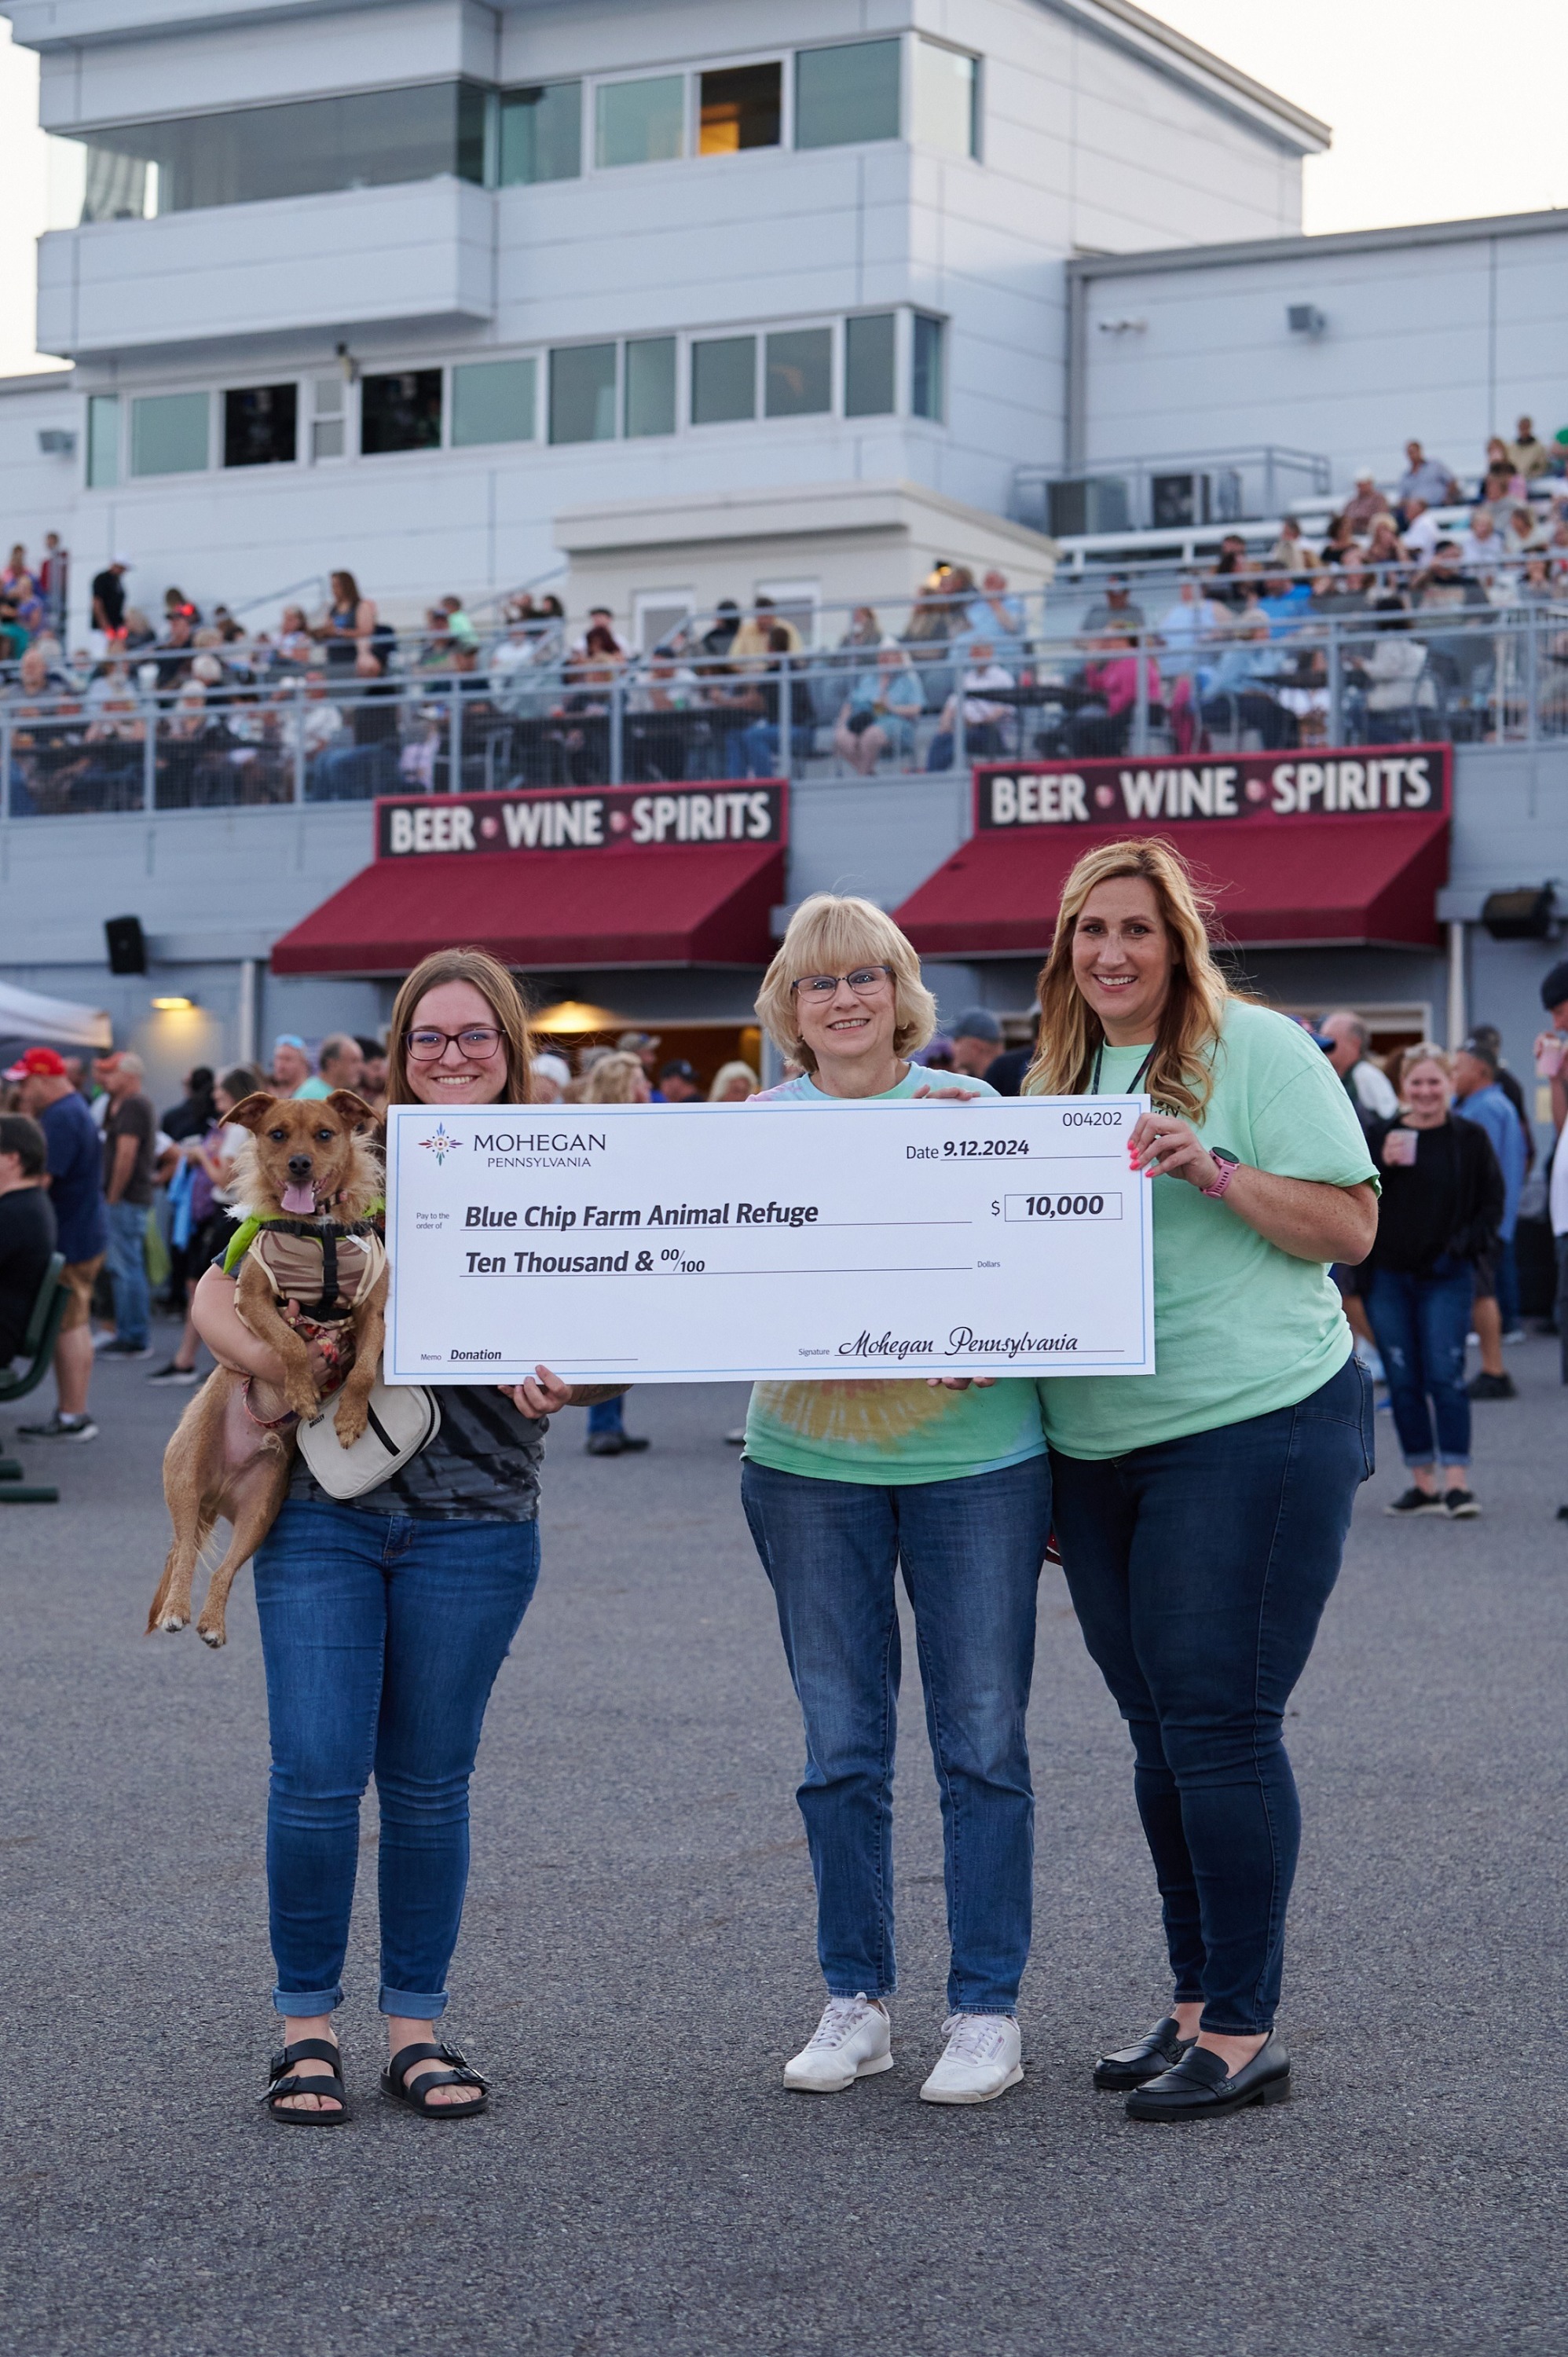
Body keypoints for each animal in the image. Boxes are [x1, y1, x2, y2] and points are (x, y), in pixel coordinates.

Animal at [148, 1094, 387, 1650]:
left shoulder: (374, 1313)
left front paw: (349, 1417)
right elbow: (290, 1344)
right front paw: (300, 1391)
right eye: (277, 1134)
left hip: (260, 1513)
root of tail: (219, 1489)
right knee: (185, 1550)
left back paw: (212, 1623)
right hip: (185, 1482)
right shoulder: (253, 1297)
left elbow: (364, 1368)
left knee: (225, 1568)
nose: (299, 1163)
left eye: (325, 1134)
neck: (317, 1231)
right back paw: (176, 1611)